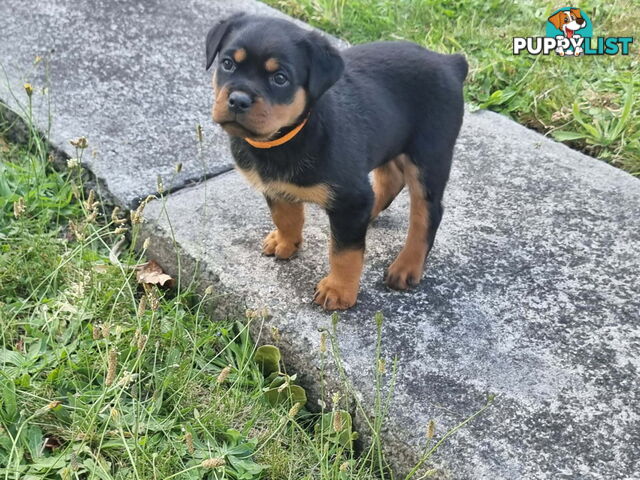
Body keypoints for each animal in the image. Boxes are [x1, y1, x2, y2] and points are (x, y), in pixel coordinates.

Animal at [208, 14, 468, 312]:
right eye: (228, 63)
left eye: (280, 78)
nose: (237, 100)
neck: (289, 136)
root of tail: (450, 62)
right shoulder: (275, 185)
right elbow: (285, 216)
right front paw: (286, 242)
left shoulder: (352, 197)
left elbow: (345, 252)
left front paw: (338, 290)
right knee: (390, 180)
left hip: (429, 155)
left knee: (427, 213)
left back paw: (407, 265)